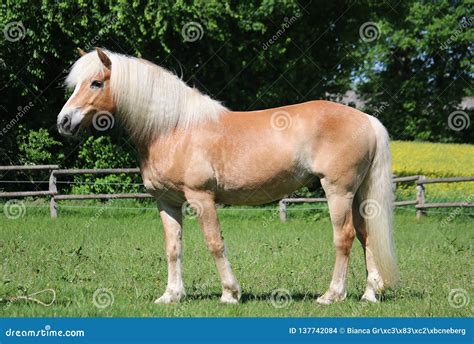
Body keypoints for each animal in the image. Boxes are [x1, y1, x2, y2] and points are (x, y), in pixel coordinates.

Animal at [57, 47, 398, 306]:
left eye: (96, 83)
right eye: (76, 84)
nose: (64, 121)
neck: (173, 129)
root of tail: (366, 119)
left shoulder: (201, 198)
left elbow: (214, 243)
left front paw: (230, 294)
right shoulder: (167, 202)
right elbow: (173, 248)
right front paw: (171, 296)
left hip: (338, 191)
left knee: (345, 237)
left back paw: (332, 295)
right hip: (358, 193)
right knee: (366, 235)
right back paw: (369, 294)